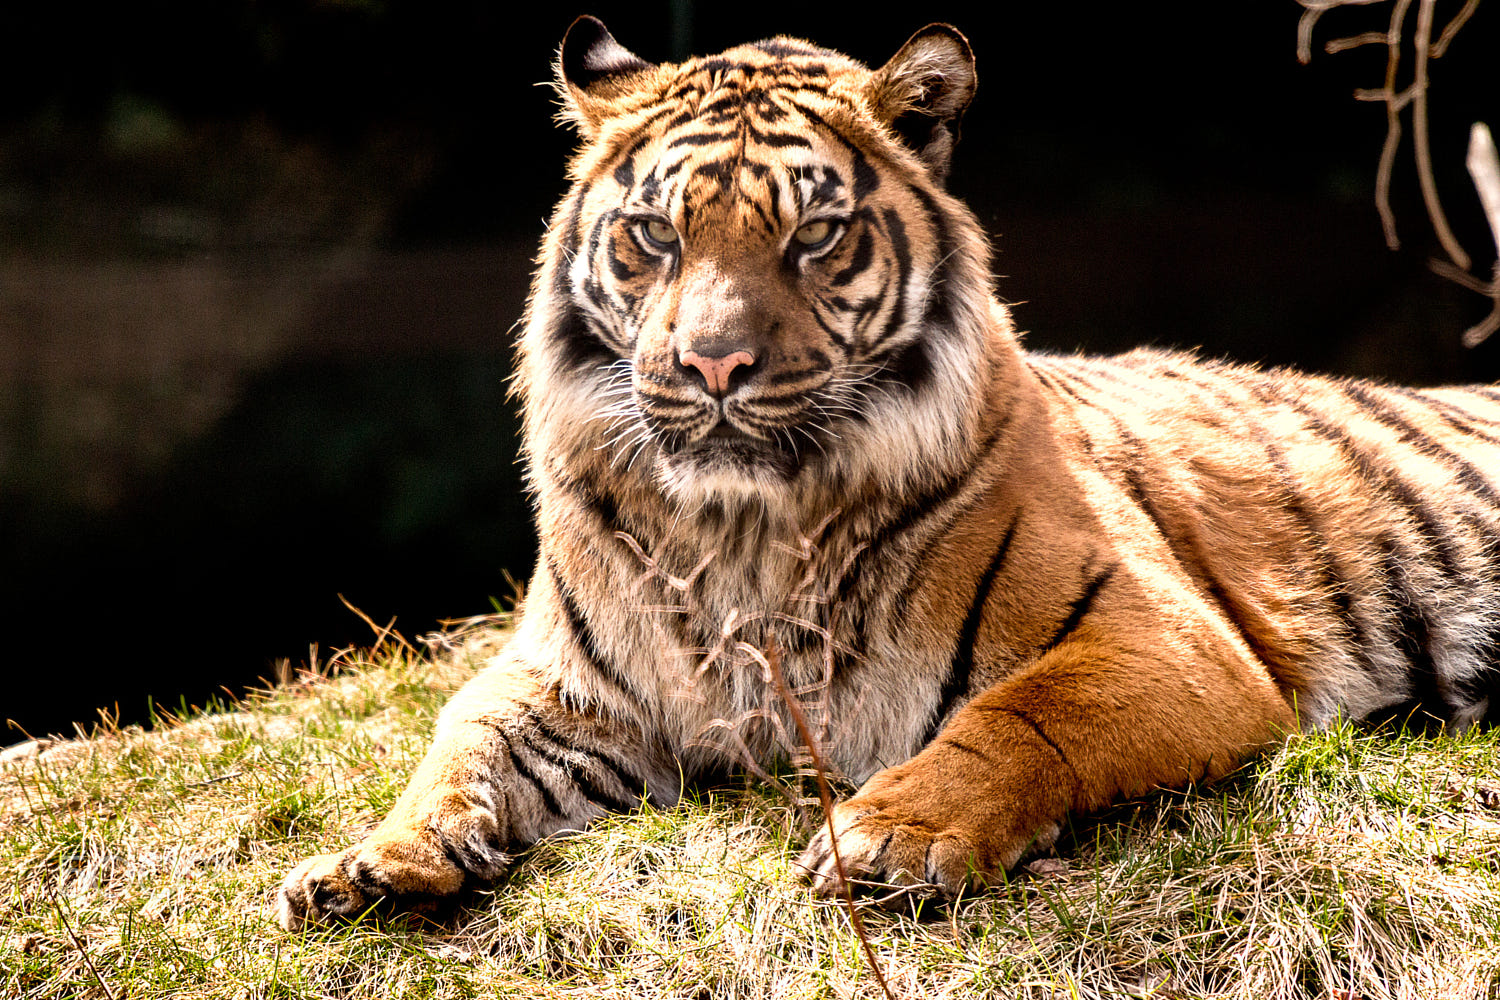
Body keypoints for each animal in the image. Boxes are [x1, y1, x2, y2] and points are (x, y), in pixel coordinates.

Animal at [276, 15, 1500, 929]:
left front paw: (884, 837)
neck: (739, 528)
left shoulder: (1170, 640)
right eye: (656, 235)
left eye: (813, 237)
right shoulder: (565, 683)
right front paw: (371, 861)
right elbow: (461, 745)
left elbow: (1019, 714)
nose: (712, 362)